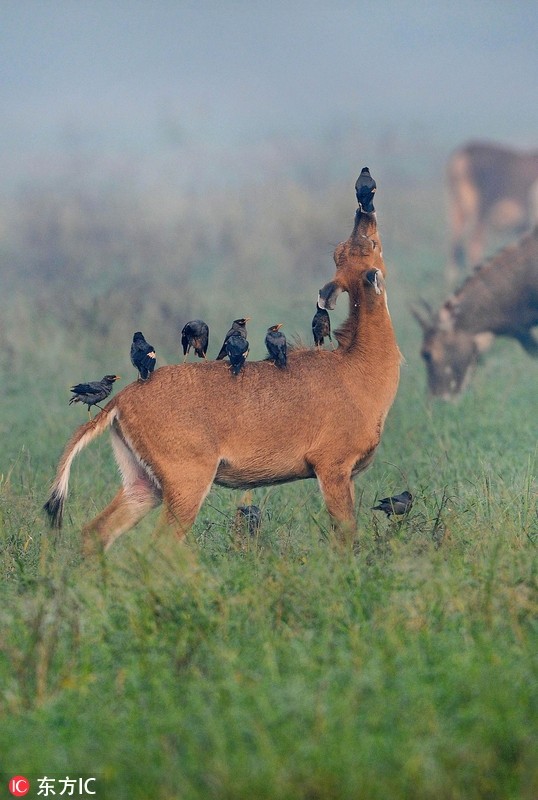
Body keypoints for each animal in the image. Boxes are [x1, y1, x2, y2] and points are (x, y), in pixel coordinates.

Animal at [45, 174, 398, 552]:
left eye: (346, 249)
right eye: (374, 243)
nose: (364, 210)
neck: (357, 368)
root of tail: (119, 401)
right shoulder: (333, 467)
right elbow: (347, 536)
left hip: (143, 483)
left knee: (95, 531)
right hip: (188, 479)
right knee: (161, 544)